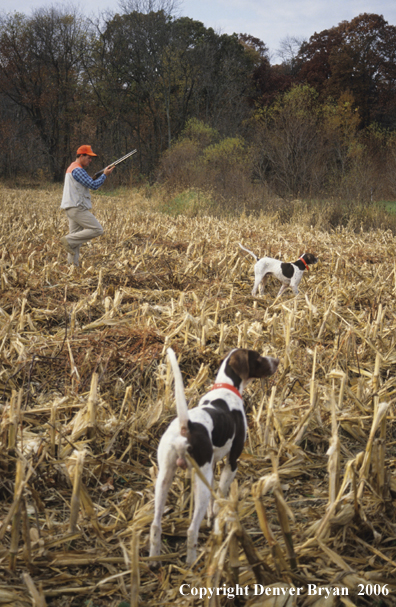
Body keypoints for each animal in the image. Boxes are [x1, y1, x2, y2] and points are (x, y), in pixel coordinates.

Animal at [149, 350, 278, 568]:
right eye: (258, 357)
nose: (276, 361)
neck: (226, 388)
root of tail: (186, 427)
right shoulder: (231, 463)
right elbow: (220, 497)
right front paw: (220, 522)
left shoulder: (212, 466)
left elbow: (213, 498)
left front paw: (212, 519)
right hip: (199, 479)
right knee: (192, 529)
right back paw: (192, 563)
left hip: (165, 478)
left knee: (155, 524)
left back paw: (154, 560)